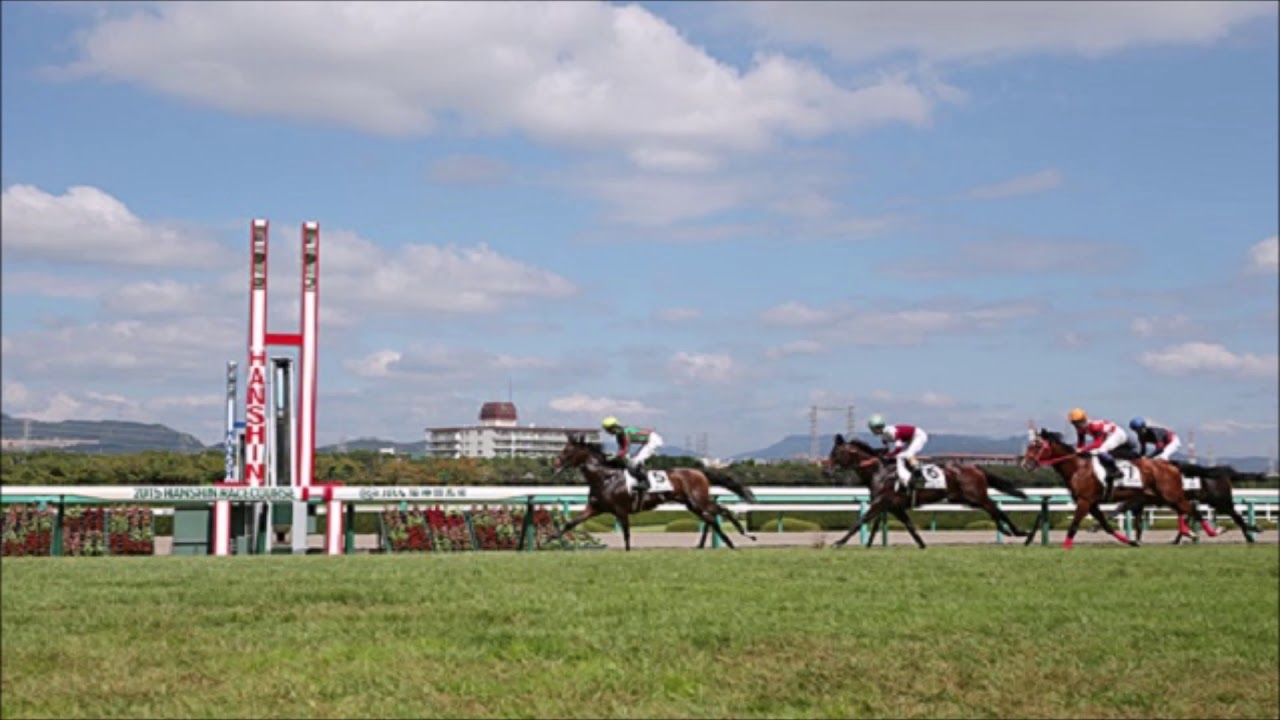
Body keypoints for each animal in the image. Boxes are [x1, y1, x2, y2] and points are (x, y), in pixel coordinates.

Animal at [550, 430, 757, 548]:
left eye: (567, 451)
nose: (555, 463)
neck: (606, 478)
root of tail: (699, 471)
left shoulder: (621, 510)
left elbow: (626, 535)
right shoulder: (595, 508)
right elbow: (570, 524)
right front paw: (549, 540)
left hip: (697, 501)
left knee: (722, 511)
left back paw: (745, 535)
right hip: (692, 504)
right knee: (713, 517)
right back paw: (728, 542)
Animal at [824, 430, 1034, 548]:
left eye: (836, 453)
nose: (827, 470)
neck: (880, 472)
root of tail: (975, 467)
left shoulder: (880, 502)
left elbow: (860, 521)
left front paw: (838, 542)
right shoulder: (894, 507)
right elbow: (910, 527)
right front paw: (923, 546)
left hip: (974, 496)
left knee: (995, 508)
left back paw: (1017, 531)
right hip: (963, 499)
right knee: (992, 509)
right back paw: (1008, 530)